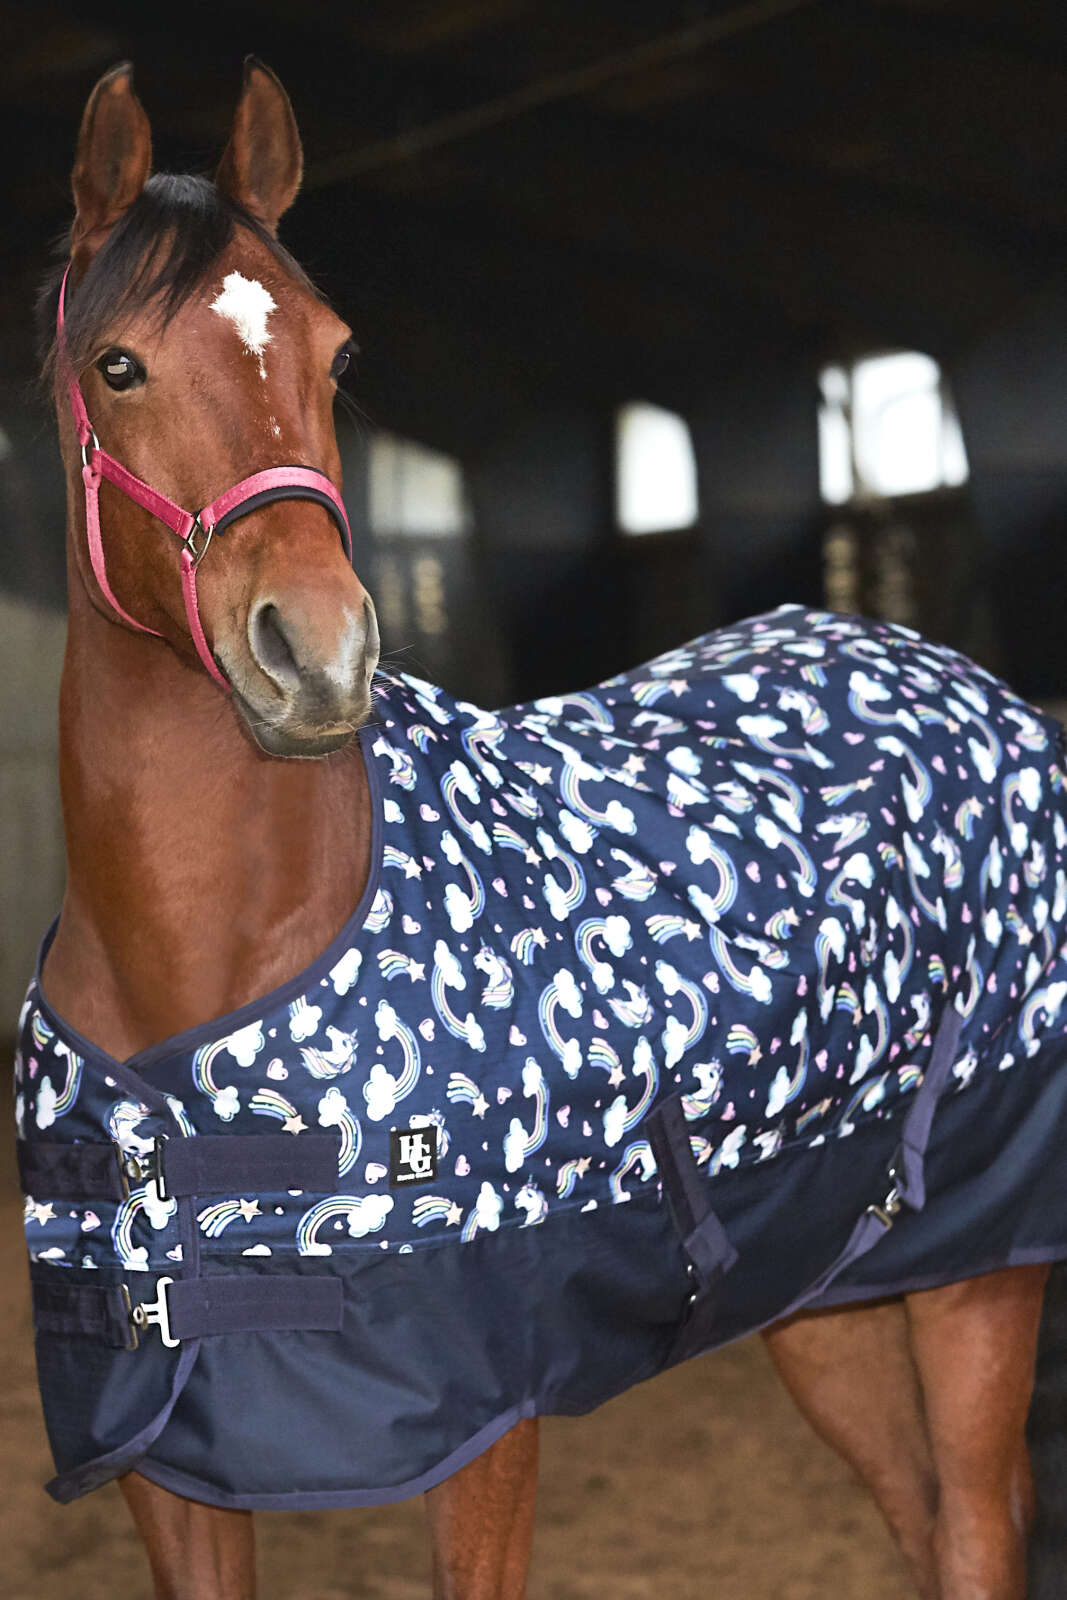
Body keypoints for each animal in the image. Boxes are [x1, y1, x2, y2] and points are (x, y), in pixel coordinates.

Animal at [16, 58, 1067, 1600]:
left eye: (336, 357)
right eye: (117, 366)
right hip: (826, 1302)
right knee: (923, 1523)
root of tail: (962, 682)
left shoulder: (484, 1436)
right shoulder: (168, 1468)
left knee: (977, 1532)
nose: (316, 653)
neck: (218, 958)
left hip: (975, 1284)